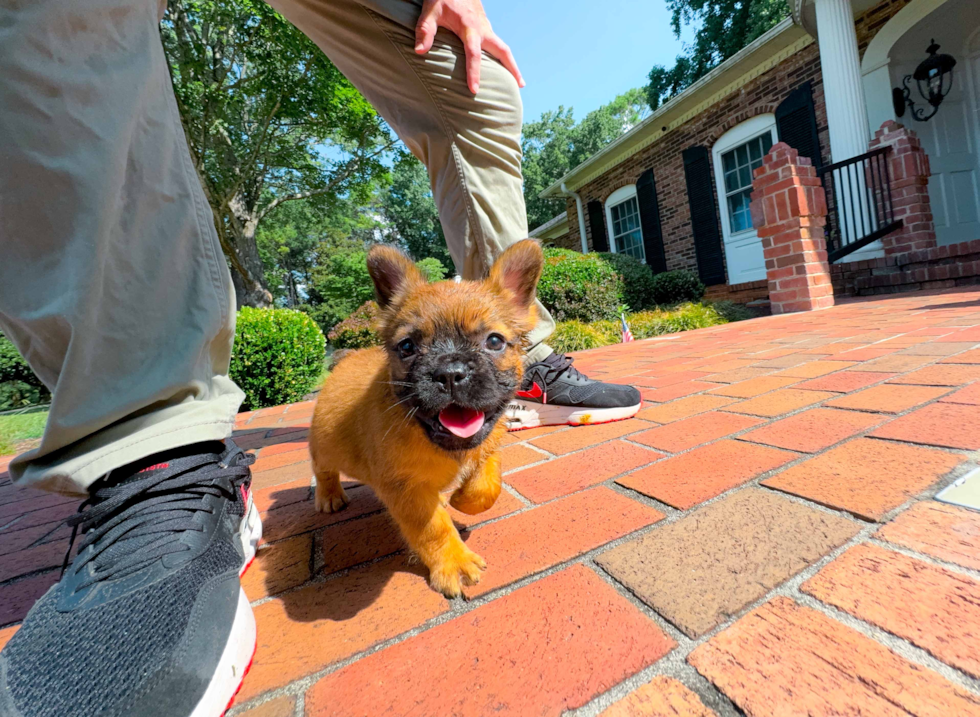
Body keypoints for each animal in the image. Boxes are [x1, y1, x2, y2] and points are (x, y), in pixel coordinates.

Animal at [312, 238, 548, 596]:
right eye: (407, 346)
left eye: (494, 341)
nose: (450, 373)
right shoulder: (407, 490)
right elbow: (433, 528)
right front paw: (454, 563)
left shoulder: (488, 444)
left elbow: (487, 483)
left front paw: (463, 499)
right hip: (324, 445)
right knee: (322, 468)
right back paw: (329, 496)